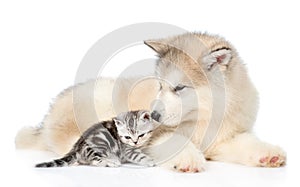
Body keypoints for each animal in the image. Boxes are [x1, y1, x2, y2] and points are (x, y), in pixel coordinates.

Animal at [15, 32, 286, 172]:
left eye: (179, 88)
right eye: (159, 85)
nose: (153, 115)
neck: (204, 117)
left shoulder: (223, 137)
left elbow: (247, 143)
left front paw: (268, 155)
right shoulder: (156, 137)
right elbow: (176, 143)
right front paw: (189, 159)